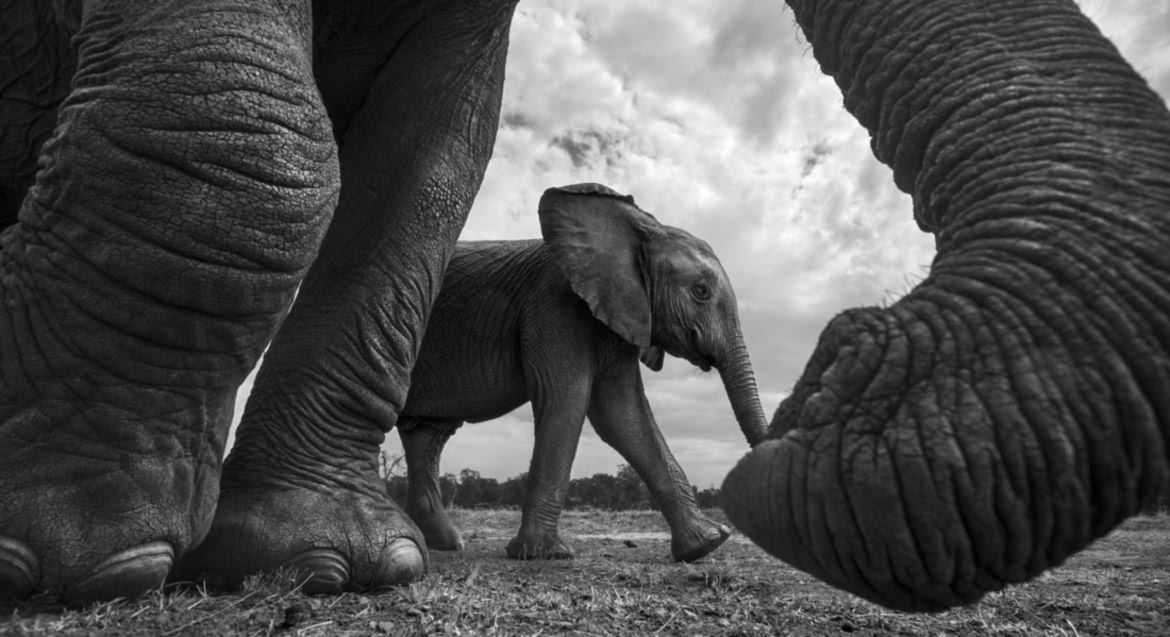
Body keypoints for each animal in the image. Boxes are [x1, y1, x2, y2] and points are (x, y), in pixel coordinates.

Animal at [397, 181, 772, 559]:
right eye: (701, 291)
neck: (640, 229)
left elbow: (622, 414)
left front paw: (706, 544)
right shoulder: (554, 305)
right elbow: (568, 400)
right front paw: (545, 554)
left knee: (426, 436)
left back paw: (447, 544)